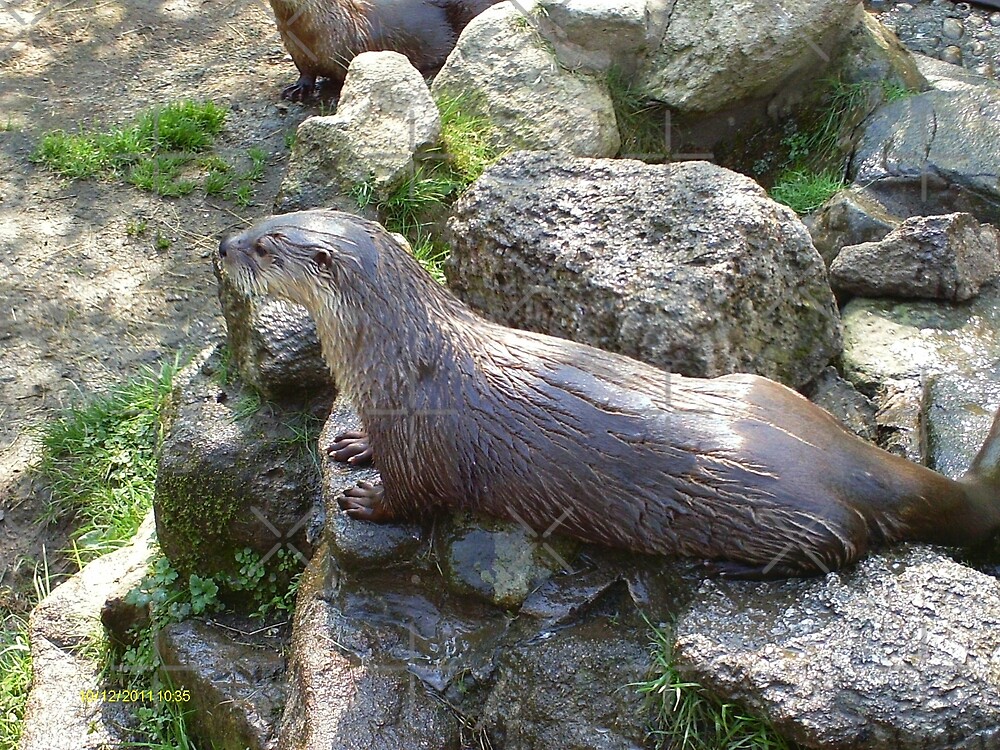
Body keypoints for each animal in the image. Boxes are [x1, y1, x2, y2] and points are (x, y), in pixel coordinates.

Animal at [218, 210, 1000, 579]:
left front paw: (365, 497)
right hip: (763, 385)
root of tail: (851, 460)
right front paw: (353, 442)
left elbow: (414, 496)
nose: (223, 245)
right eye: (263, 221)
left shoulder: (425, 444)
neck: (400, 362)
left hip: (788, 516)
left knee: (839, 551)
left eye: (265, 246)